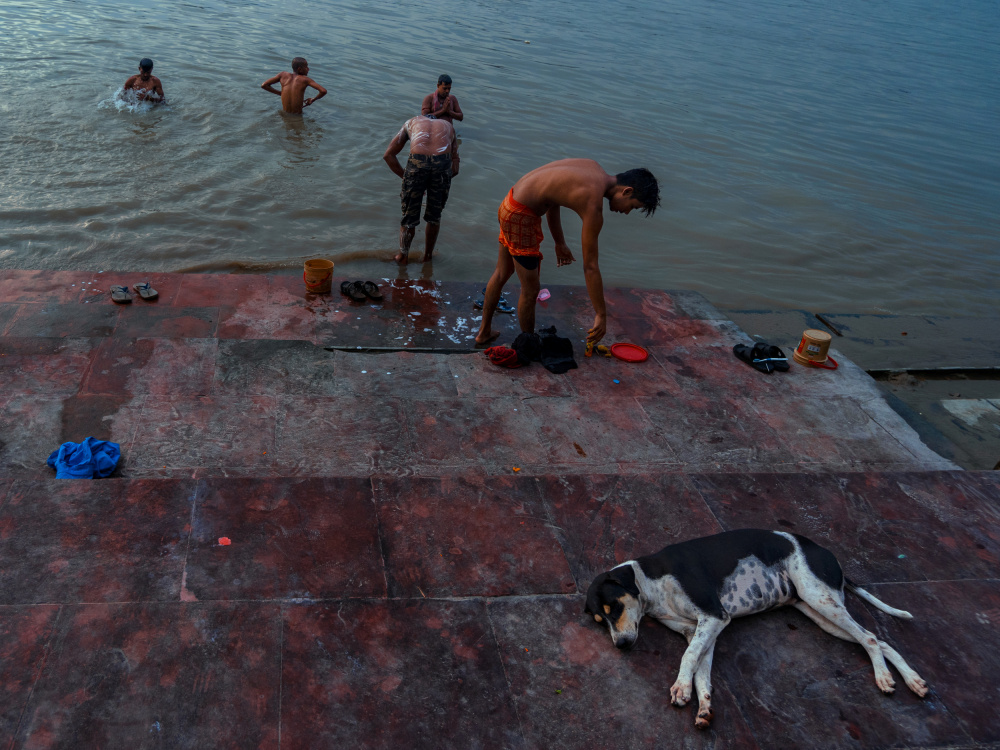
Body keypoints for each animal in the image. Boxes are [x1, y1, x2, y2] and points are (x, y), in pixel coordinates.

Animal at [584, 528, 928, 728]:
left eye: (613, 608)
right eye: (600, 622)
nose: (620, 646)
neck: (651, 582)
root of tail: (827, 553)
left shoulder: (714, 618)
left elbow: (688, 659)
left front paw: (680, 688)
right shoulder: (699, 630)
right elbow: (701, 672)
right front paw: (703, 706)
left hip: (820, 598)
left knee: (869, 637)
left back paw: (884, 678)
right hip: (819, 612)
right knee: (881, 641)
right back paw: (913, 681)